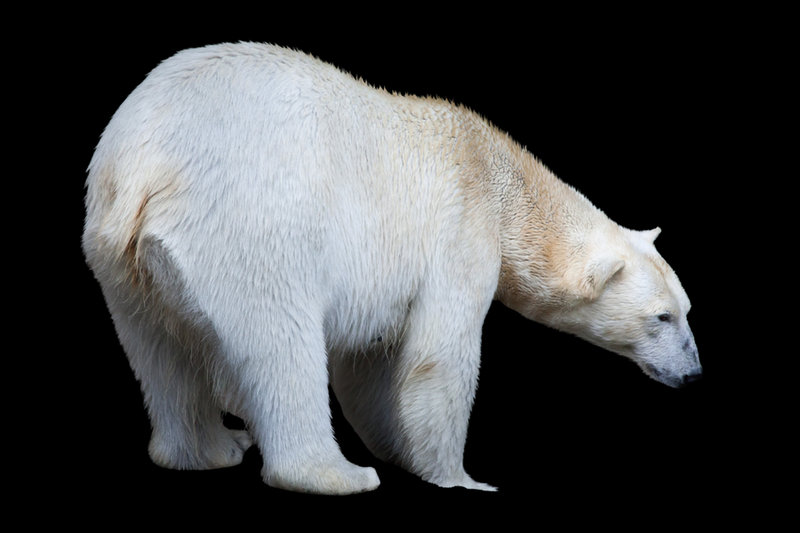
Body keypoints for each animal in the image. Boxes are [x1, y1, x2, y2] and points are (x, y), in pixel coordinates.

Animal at [82, 42, 701, 495]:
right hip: (251, 228)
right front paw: (461, 480)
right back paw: (337, 473)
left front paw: (400, 449)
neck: (502, 179)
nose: (694, 374)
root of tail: (141, 165)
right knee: (280, 345)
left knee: (159, 353)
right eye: (662, 318)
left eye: (687, 309)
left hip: (118, 260)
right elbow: (439, 357)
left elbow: (369, 362)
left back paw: (210, 449)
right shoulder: (460, 230)